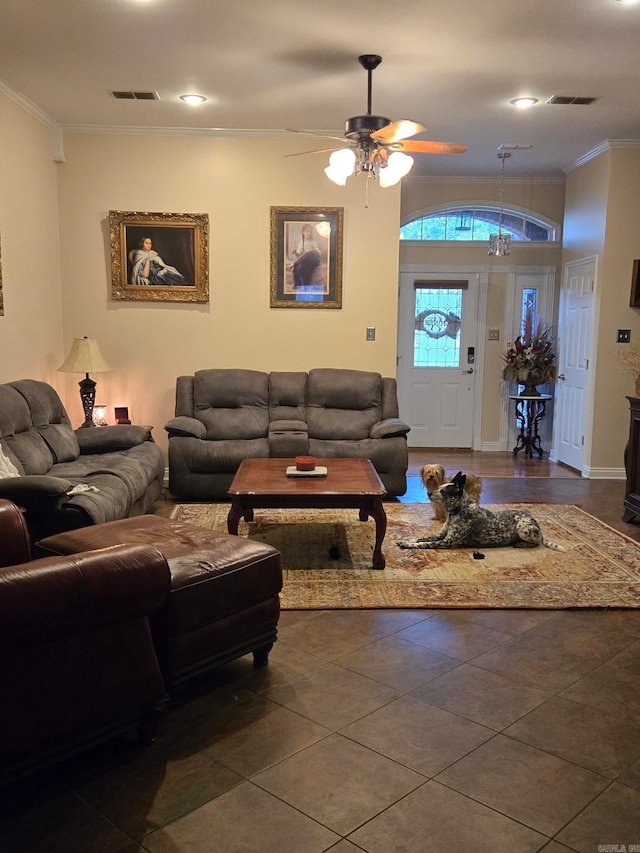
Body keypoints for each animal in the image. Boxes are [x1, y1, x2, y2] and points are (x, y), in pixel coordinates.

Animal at [398, 472, 568, 552]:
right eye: (439, 487)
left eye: (444, 491)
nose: (428, 493)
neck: (458, 511)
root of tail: (535, 522)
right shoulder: (440, 535)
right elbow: (421, 538)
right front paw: (407, 539)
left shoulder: (445, 542)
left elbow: (423, 544)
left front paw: (408, 545)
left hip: (523, 529)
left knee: (536, 542)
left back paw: (521, 544)